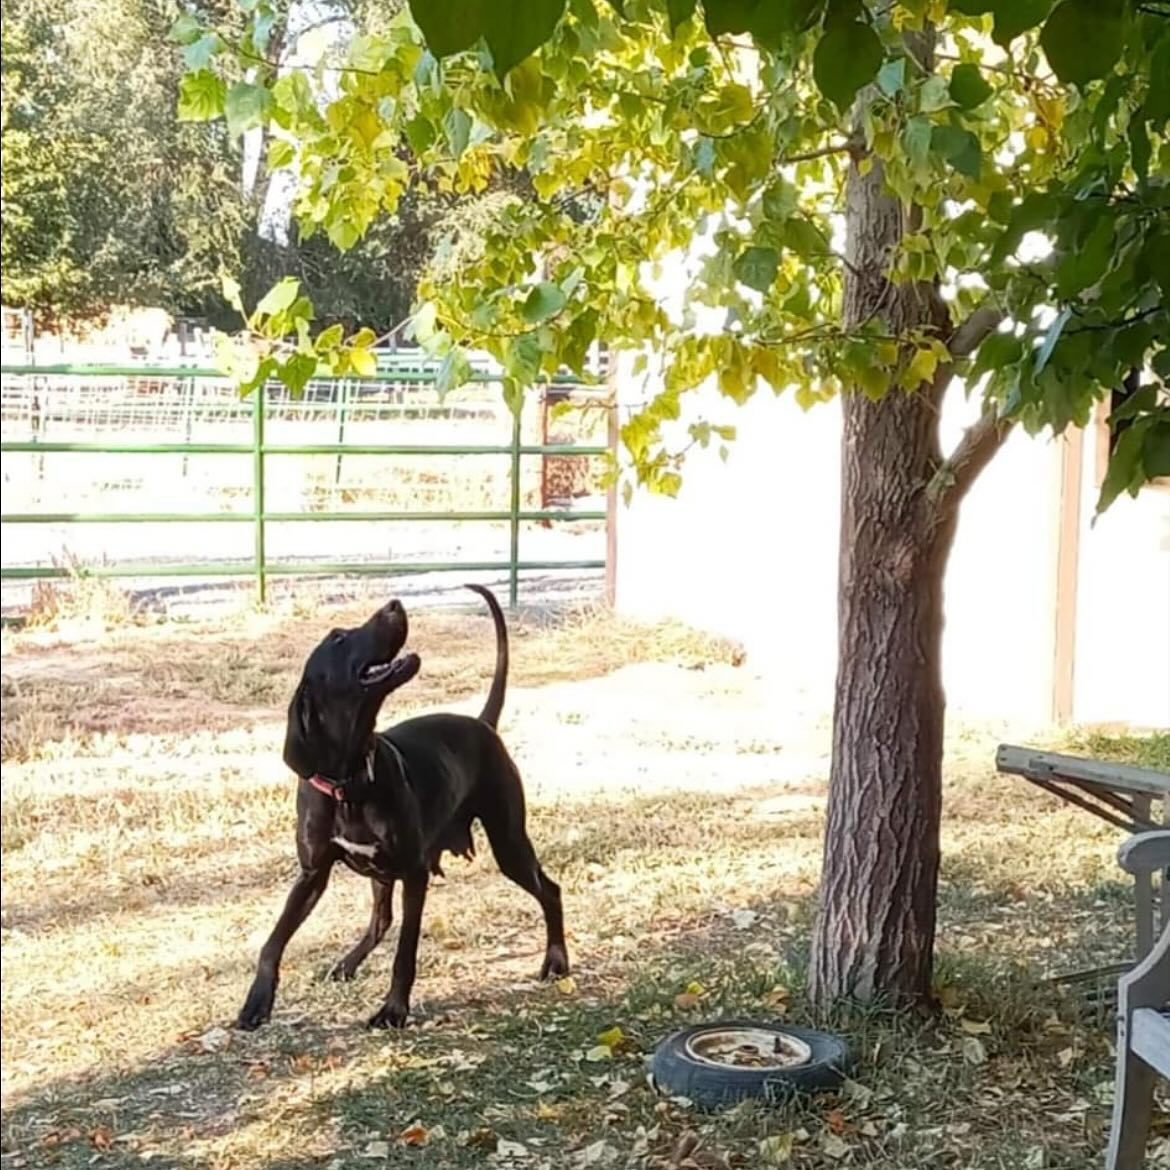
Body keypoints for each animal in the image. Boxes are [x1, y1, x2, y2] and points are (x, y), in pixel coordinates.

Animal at [235, 585, 568, 1034]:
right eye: (338, 638)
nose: (394, 604)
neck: (350, 782)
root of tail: (483, 723)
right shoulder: (312, 875)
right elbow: (273, 941)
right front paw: (256, 1002)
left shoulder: (414, 873)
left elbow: (404, 952)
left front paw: (393, 1009)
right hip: (387, 873)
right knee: (380, 920)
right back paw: (345, 964)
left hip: (509, 843)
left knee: (549, 890)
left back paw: (556, 961)